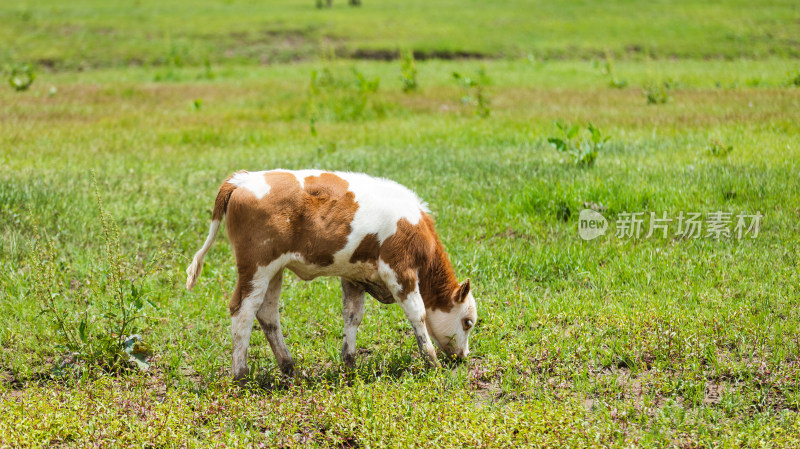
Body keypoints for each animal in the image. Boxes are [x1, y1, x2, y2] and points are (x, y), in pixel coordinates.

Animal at [184, 170, 478, 380]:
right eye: (468, 322)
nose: (463, 356)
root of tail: (242, 179)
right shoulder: (399, 271)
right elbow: (418, 315)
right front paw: (432, 361)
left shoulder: (354, 276)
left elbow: (352, 316)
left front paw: (350, 364)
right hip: (256, 267)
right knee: (242, 312)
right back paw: (241, 374)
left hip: (273, 271)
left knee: (267, 314)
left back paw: (289, 367)